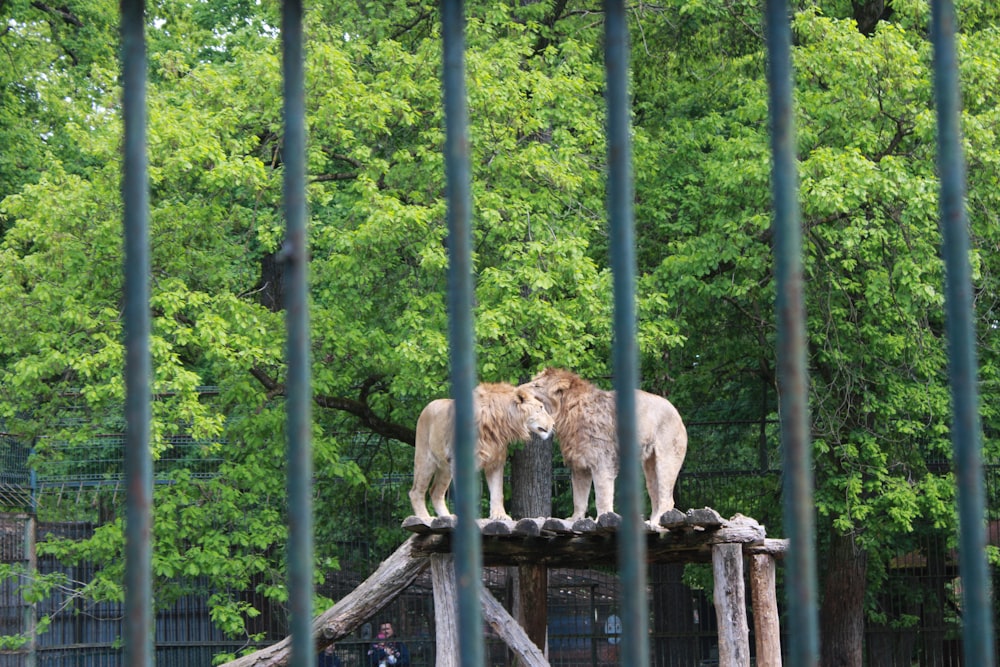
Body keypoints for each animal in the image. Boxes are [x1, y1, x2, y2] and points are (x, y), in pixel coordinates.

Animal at [410, 386, 560, 520]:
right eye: (540, 408)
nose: (553, 424)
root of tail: (428, 405)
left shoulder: (496, 462)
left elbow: (497, 492)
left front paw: (499, 515)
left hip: (445, 469)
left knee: (435, 492)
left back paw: (447, 517)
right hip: (425, 460)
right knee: (416, 491)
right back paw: (424, 518)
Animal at [524, 368, 688, 528]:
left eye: (536, 385)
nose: (520, 393)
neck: (568, 413)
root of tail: (676, 412)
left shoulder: (602, 461)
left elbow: (602, 495)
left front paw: (603, 518)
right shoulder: (579, 464)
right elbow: (579, 497)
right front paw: (574, 519)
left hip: (667, 459)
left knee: (667, 498)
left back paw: (656, 522)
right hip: (649, 464)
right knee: (655, 492)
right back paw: (650, 521)